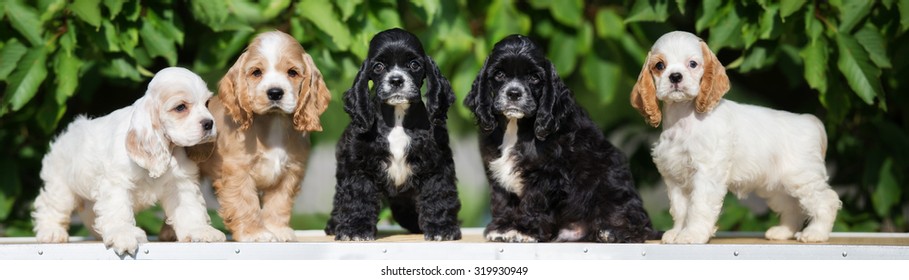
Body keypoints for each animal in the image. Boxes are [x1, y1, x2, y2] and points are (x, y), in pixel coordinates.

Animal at [33, 66, 225, 255]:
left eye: (207, 103)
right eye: (180, 107)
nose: (209, 123)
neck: (168, 147)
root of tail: (64, 135)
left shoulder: (180, 183)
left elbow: (190, 209)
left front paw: (200, 231)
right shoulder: (117, 183)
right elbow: (118, 210)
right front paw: (123, 235)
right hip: (61, 188)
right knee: (50, 206)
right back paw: (51, 232)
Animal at [177, 30, 330, 241]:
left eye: (292, 72)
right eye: (256, 72)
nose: (275, 93)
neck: (273, 123)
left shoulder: (291, 171)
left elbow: (279, 203)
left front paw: (278, 230)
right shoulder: (238, 171)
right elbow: (245, 203)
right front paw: (255, 234)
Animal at [322, 29, 462, 243]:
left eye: (414, 64)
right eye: (378, 67)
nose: (396, 80)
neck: (397, 118)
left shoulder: (436, 163)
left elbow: (439, 194)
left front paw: (441, 228)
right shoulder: (359, 166)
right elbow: (357, 197)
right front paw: (355, 230)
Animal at [464, 35, 656, 243]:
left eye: (534, 78)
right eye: (499, 74)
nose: (514, 93)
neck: (516, 127)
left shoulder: (547, 172)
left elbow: (534, 202)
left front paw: (524, 230)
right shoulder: (497, 172)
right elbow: (502, 200)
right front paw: (502, 228)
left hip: (611, 186)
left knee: (638, 225)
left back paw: (611, 232)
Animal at [628, 31, 840, 243]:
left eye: (693, 64)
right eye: (660, 65)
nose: (675, 76)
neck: (683, 118)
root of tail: (810, 120)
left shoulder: (706, 172)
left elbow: (698, 207)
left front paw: (691, 235)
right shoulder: (674, 175)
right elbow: (680, 209)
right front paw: (676, 233)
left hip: (801, 177)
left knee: (827, 200)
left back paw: (816, 233)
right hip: (777, 185)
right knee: (792, 206)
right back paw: (783, 231)